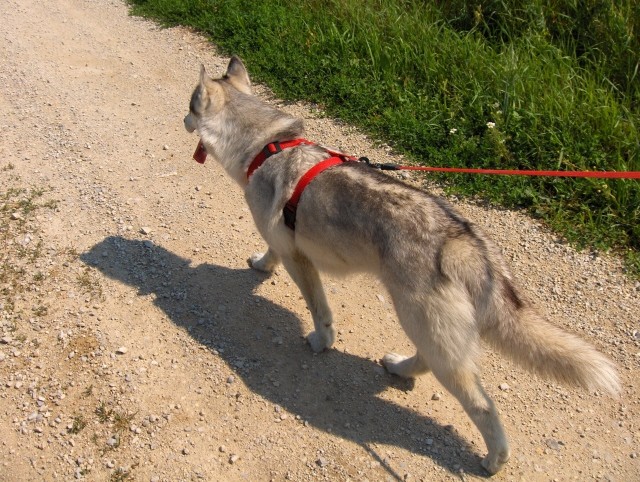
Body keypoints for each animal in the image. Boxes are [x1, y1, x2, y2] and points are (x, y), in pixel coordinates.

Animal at [185, 57, 620, 474]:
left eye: (190, 106)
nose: (183, 119)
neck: (267, 145)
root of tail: (460, 240)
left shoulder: (300, 260)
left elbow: (320, 313)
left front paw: (321, 340)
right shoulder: (283, 245)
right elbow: (270, 254)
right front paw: (261, 265)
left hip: (421, 323)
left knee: (482, 405)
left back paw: (494, 458)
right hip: (429, 327)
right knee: (428, 361)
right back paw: (400, 369)